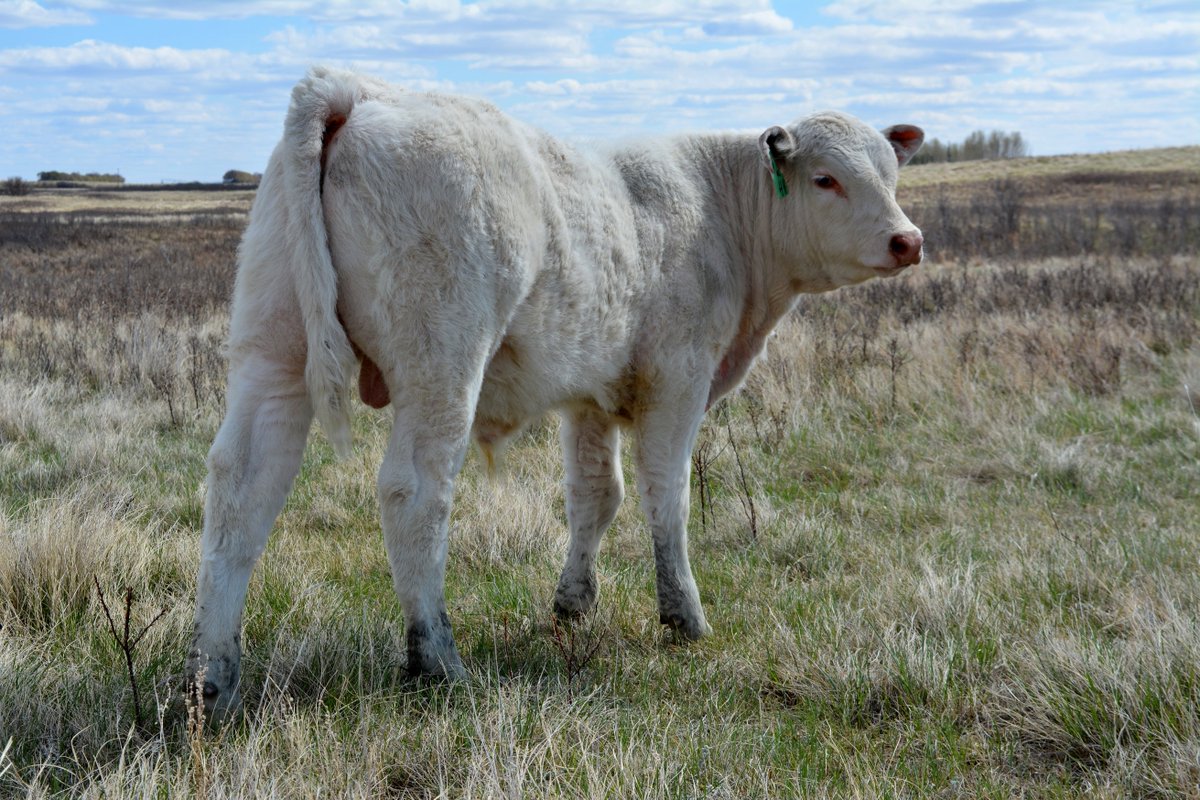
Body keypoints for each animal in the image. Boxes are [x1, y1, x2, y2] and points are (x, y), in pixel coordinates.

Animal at [186, 67, 923, 720]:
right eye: (827, 179)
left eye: (890, 175)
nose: (907, 240)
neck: (722, 211)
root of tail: (355, 89)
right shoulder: (678, 379)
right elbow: (668, 497)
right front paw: (683, 615)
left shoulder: (589, 398)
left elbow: (596, 497)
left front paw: (574, 604)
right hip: (440, 361)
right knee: (413, 493)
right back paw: (438, 660)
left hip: (274, 350)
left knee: (242, 489)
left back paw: (211, 681)